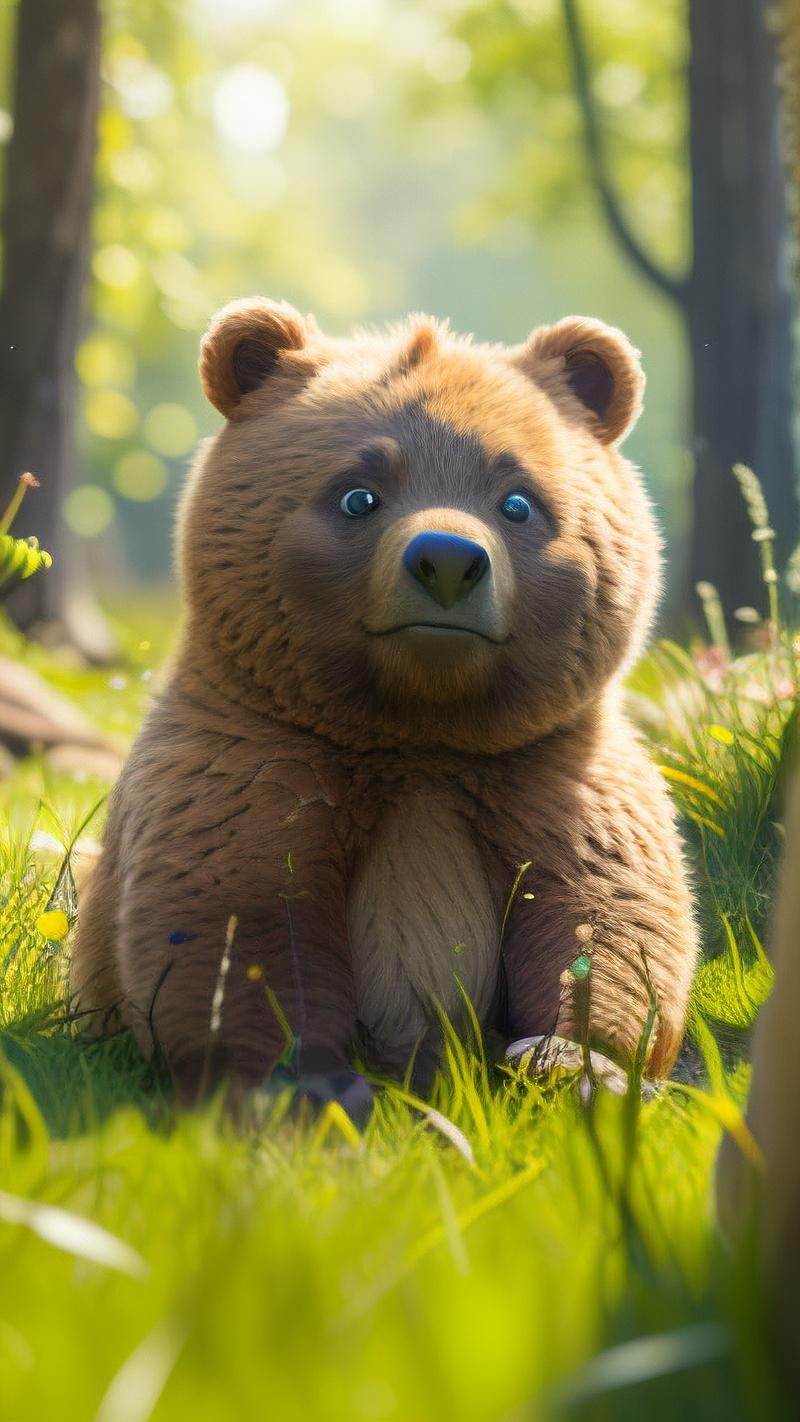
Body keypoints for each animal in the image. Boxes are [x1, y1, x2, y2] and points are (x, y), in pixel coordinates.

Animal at [70, 296, 697, 1117]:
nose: (448, 561)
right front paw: (300, 1082)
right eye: (358, 493)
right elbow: (241, 918)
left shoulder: (551, 773)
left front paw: (575, 1064)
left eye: (518, 501)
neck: (419, 727)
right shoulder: (256, 756)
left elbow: (606, 916)